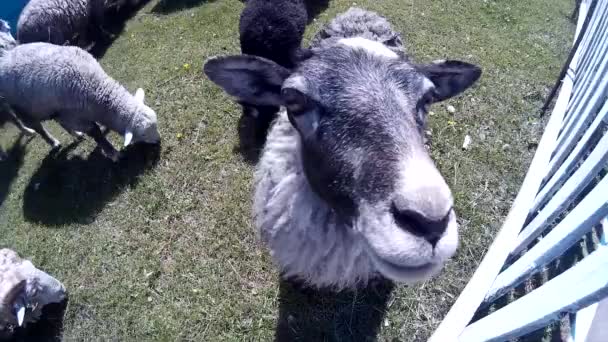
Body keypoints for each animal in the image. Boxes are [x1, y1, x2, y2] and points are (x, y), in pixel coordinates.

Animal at [0, 21, 160, 160]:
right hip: (23, 109)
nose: (158, 141)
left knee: (59, 121)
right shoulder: (75, 115)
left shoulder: (72, 112)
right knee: (38, 128)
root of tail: (6, 57)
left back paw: (76, 135)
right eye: (143, 135)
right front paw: (113, 153)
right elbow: (95, 132)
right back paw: (53, 142)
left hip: (53, 107)